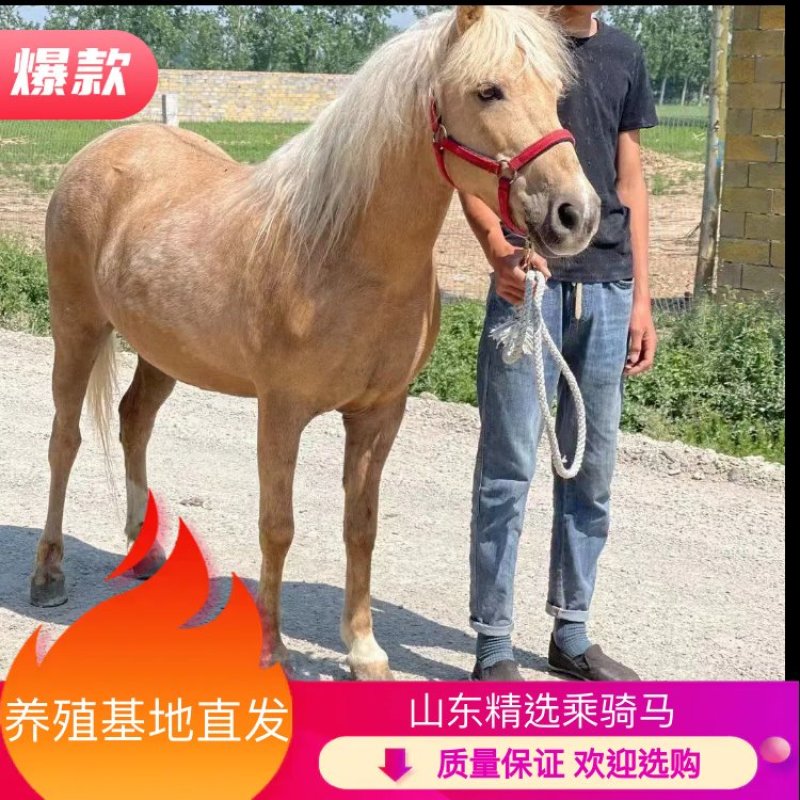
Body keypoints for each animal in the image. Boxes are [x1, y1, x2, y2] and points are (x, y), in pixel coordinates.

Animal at [33, 5, 600, 679]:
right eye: (488, 90)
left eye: (556, 92)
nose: (576, 214)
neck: (343, 254)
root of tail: (103, 148)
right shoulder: (281, 410)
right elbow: (278, 526)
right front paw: (270, 647)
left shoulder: (380, 414)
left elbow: (362, 527)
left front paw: (364, 651)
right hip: (77, 328)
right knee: (65, 440)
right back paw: (48, 574)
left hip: (162, 352)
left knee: (133, 422)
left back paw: (144, 555)